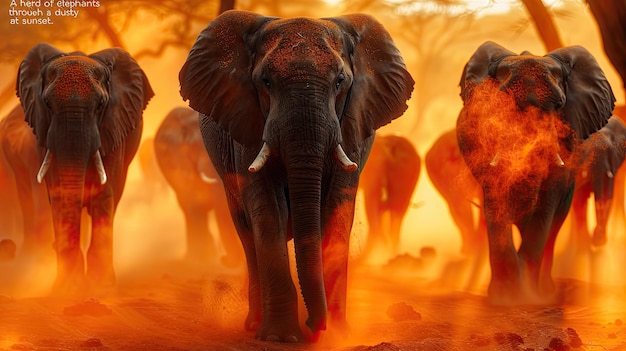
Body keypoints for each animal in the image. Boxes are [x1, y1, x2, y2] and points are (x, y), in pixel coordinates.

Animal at [16, 42, 154, 296]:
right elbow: (59, 194)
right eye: (47, 104)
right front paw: (67, 288)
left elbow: (103, 195)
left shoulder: (113, 127)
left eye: (100, 105)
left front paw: (100, 287)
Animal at [178, 9, 412, 342]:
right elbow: (268, 210)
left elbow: (337, 209)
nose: (314, 326)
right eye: (265, 82)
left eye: (340, 82)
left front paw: (337, 335)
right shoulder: (247, 123)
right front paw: (280, 337)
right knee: (247, 233)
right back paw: (254, 324)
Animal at [456, 41, 612, 306]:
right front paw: (505, 298)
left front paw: (528, 298)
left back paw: (546, 292)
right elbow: (496, 195)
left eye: (558, 106)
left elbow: (546, 204)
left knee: (555, 223)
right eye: (501, 106)